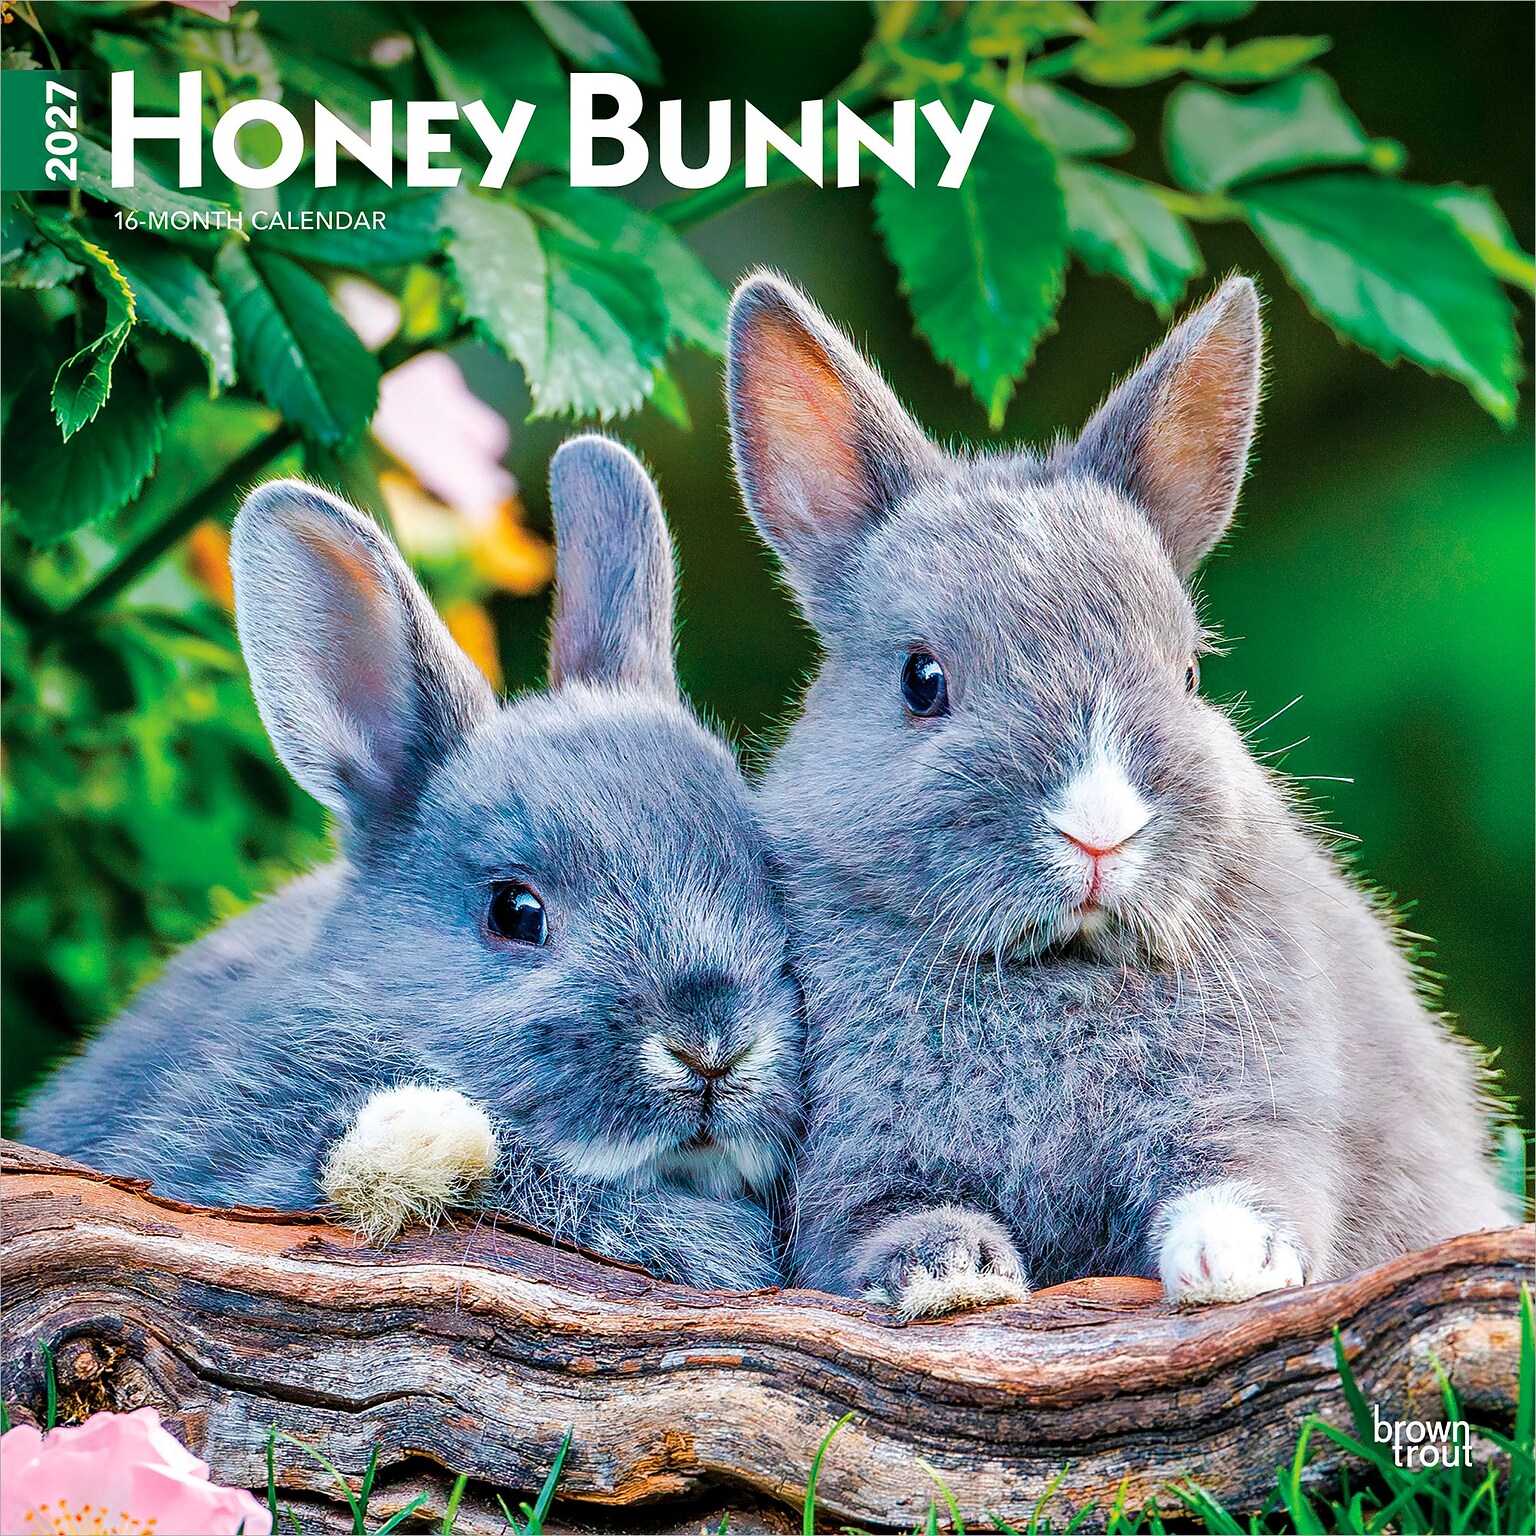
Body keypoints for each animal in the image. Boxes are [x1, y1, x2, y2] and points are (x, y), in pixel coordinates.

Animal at [724, 270, 1517, 1319]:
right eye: (921, 680)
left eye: (1189, 674)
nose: (1099, 833)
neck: (1061, 968)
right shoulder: (849, 1167)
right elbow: (876, 1225)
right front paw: (950, 1277)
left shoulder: (1257, 1108)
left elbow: (1248, 1182)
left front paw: (1236, 1265)